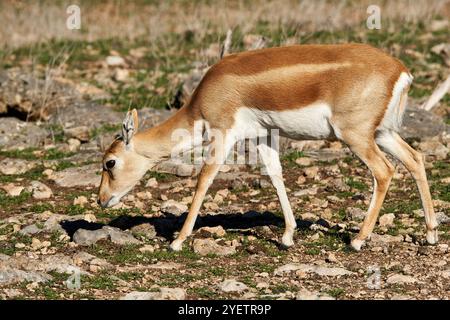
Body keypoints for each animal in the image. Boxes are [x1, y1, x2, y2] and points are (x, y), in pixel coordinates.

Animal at [96, 43, 438, 252]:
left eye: (109, 162)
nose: (101, 200)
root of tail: (400, 71)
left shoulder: (223, 132)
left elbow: (205, 178)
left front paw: (178, 241)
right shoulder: (262, 135)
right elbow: (275, 176)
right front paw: (287, 236)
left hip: (356, 136)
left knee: (384, 171)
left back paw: (357, 240)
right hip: (382, 133)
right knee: (415, 159)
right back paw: (431, 234)